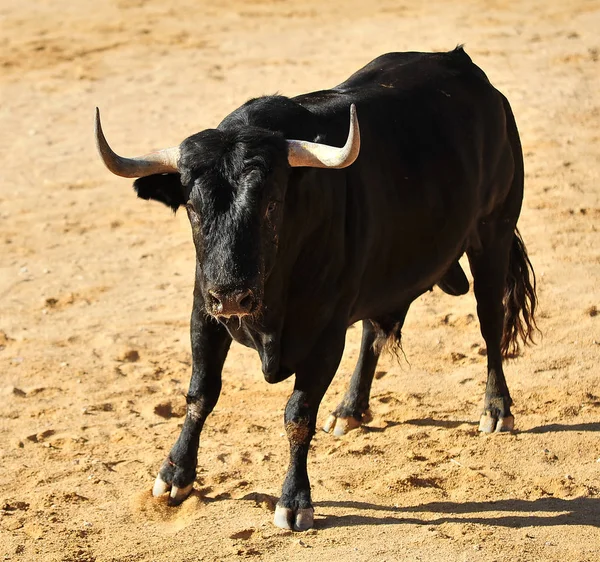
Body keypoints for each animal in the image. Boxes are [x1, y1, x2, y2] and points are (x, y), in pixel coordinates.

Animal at [96, 46, 536, 528]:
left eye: (272, 204)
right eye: (192, 207)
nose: (232, 296)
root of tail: (469, 70)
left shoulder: (324, 334)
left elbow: (298, 413)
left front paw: (294, 501)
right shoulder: (204, 314)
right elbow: (200, 394)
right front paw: (175, 474)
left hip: (493, 233)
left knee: (491, 322)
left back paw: (496, 410)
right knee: (375, 331)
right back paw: (349, 409)